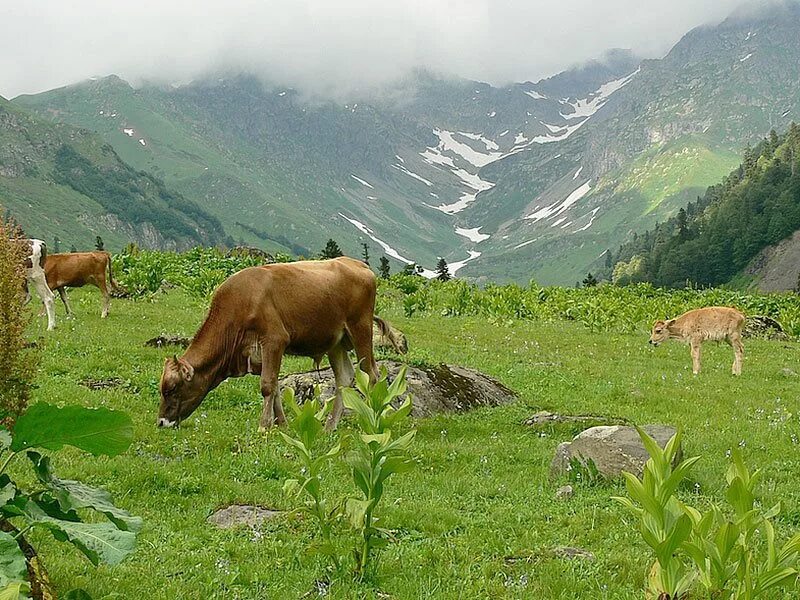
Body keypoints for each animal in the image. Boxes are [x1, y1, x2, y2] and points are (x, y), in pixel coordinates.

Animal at [160, 256, 384, 432]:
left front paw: (263, 426)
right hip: (335, 342)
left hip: (361, 328)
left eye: (172, 389)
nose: (161, 422)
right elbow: (275, 385)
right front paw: (282, 424)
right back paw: (329, 427)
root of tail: (357, 264)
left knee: (372, 374)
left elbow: (267, 385)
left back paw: (372, 421)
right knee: (344, 378)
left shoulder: (275, 340)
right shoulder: (258, 354)